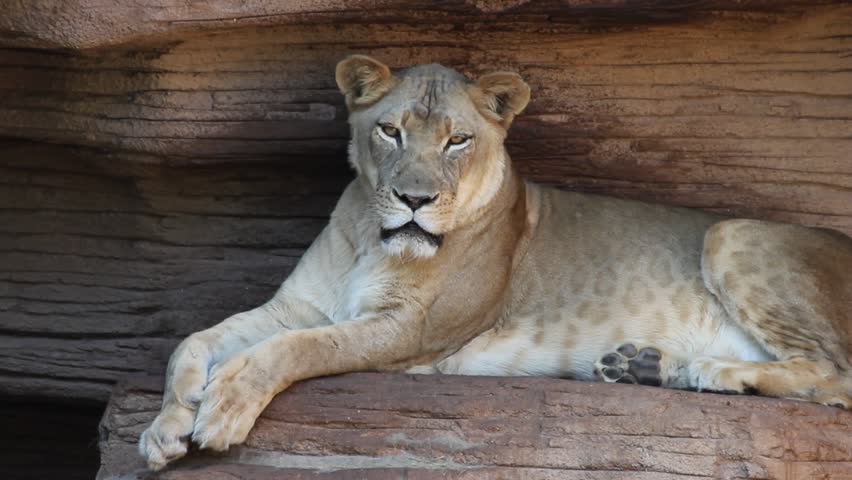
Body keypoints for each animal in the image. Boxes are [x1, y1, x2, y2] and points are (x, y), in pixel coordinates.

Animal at [140, 55, 852, 470]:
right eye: (390, 131)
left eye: (458, 140)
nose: (415, 200)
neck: (373, 238)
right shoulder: (296, 306)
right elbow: (194, 341)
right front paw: (165, 427)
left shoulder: (411, 332)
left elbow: (297, 350)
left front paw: (223, 406)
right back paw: (647, 366)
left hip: (731, 231)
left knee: (833, 376)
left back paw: (704, 372)